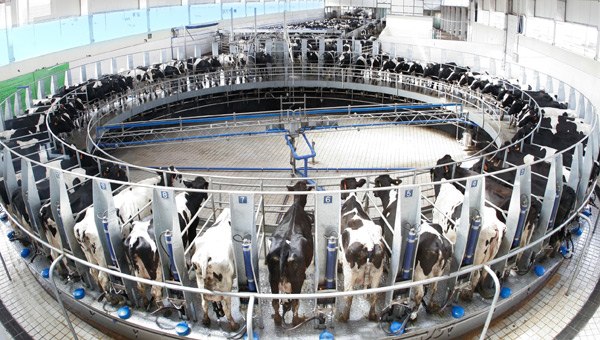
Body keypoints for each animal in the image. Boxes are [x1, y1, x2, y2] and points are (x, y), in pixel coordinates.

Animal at [266, 181, 314, 326]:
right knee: (295, 302)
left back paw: (277, 318)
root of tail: (284, 249)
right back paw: (298, 320)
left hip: (272, 278)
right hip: (297, 279)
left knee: (275, 301)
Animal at [338, 178, 384, 322]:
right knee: (374, 294)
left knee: (349, 295)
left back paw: (343, 317)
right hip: (377, 272)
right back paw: (372, 315)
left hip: (349, 273)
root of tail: (369, 245)